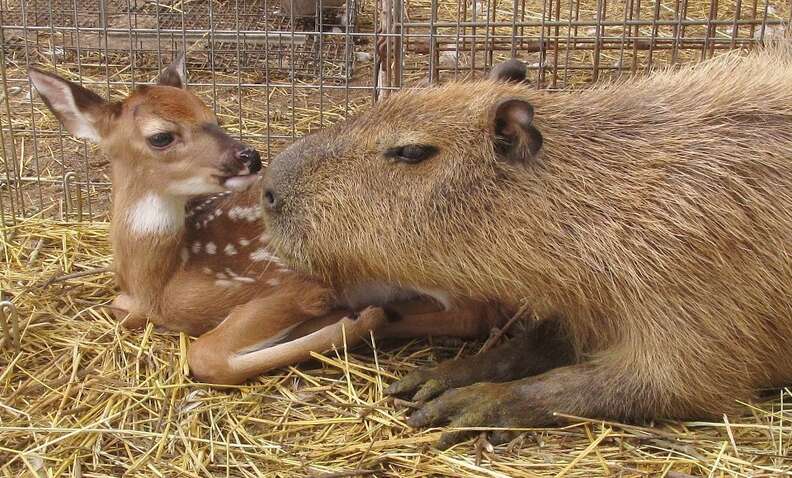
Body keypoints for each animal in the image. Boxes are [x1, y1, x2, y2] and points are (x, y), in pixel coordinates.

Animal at [29, 56, 507, 385]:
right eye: (161, 136)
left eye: (211, 114)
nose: (249, 155)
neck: (159, 279)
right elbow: (122, 311)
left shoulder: (285, 283)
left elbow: (204, 355)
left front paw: (352, 321)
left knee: (473, 313)